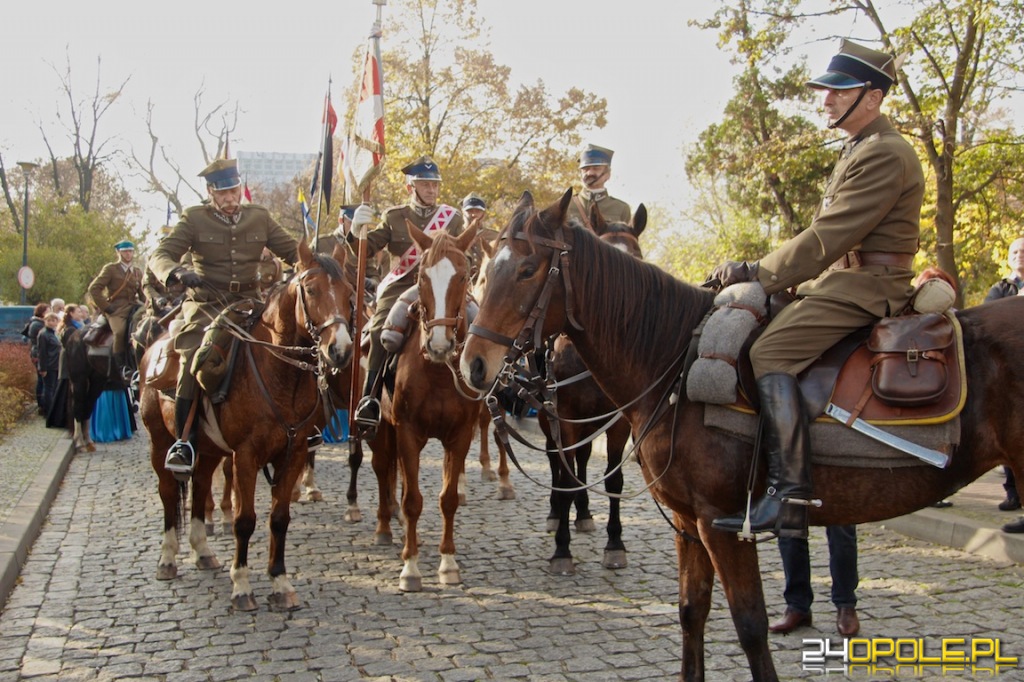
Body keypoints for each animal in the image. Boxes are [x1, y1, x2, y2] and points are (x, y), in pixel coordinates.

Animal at [139, 237, 356, 606]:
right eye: (311, 290)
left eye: (348, 292)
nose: (340, 350)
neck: (281, 376)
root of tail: (154, 346)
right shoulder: (246, 455)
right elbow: (244, 520)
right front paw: (241, 585)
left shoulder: (294, 452)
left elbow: (279, 518)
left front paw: (280, 582)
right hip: (159, 440)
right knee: (168, 492)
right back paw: (168, 559)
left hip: (208, 448)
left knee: (200, 487)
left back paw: (202, 551)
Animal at [366, 219, 481, 589]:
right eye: (421, 277)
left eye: (464, 274)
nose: (439, 344)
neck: (439, 372)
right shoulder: (407, 433)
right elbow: (413, 500)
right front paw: (411, 568)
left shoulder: (459, 436)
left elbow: (447, 499)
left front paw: (448, 564)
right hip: (382, 430)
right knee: (382, 471)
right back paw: (385, 528)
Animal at [536, 202, 647, 573]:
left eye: (638, 259)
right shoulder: (564, 416)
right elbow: (566, 477)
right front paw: (562, 549)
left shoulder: (619, 421)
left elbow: (613, 479)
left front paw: (615, 543)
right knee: (556, 462)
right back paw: (557, 512)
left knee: (582, 460)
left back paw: (582, 513)